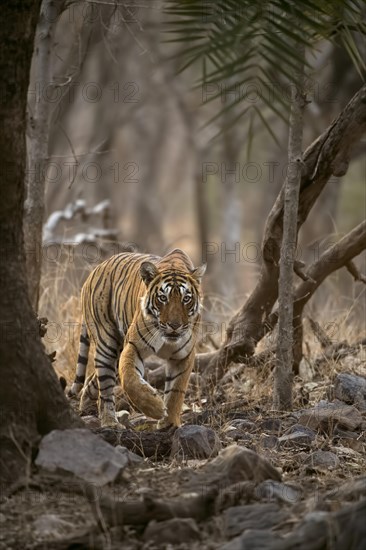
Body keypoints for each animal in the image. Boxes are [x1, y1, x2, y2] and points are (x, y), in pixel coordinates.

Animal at [68, 249, 206, 432]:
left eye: (186, 299)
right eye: (163, 298)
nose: (174, 325)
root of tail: (95, 271)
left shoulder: (183, 355)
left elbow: (176, 390)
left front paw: (169, 423)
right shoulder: (134, 346)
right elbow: (130, 379)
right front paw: (155, 408)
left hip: (116, 351)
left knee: (93, 379)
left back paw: (86, 406)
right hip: (107, 344)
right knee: (105, 386)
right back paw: (109, 421)